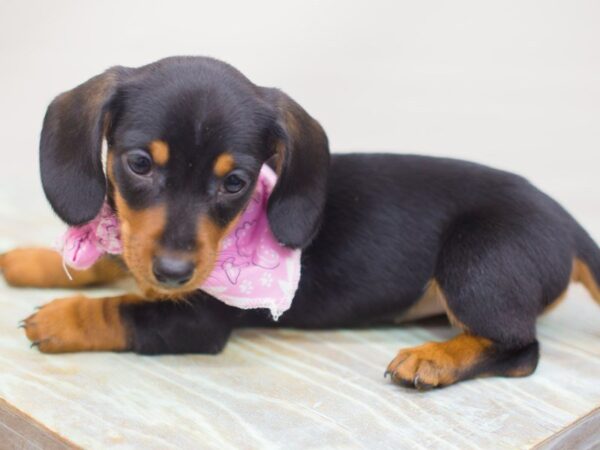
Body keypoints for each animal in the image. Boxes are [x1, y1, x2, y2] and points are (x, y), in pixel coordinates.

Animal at [1, 56, 600, 388]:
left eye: (235, 183)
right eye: (140, 164)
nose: (173, 274)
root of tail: (568, 225)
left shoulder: (195, 321)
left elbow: (122, 309)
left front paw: (60, 319)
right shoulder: (137, 245)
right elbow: (112, 259)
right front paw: (29, 259)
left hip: (478, 259)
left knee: (521, 350)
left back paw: (433, 360)